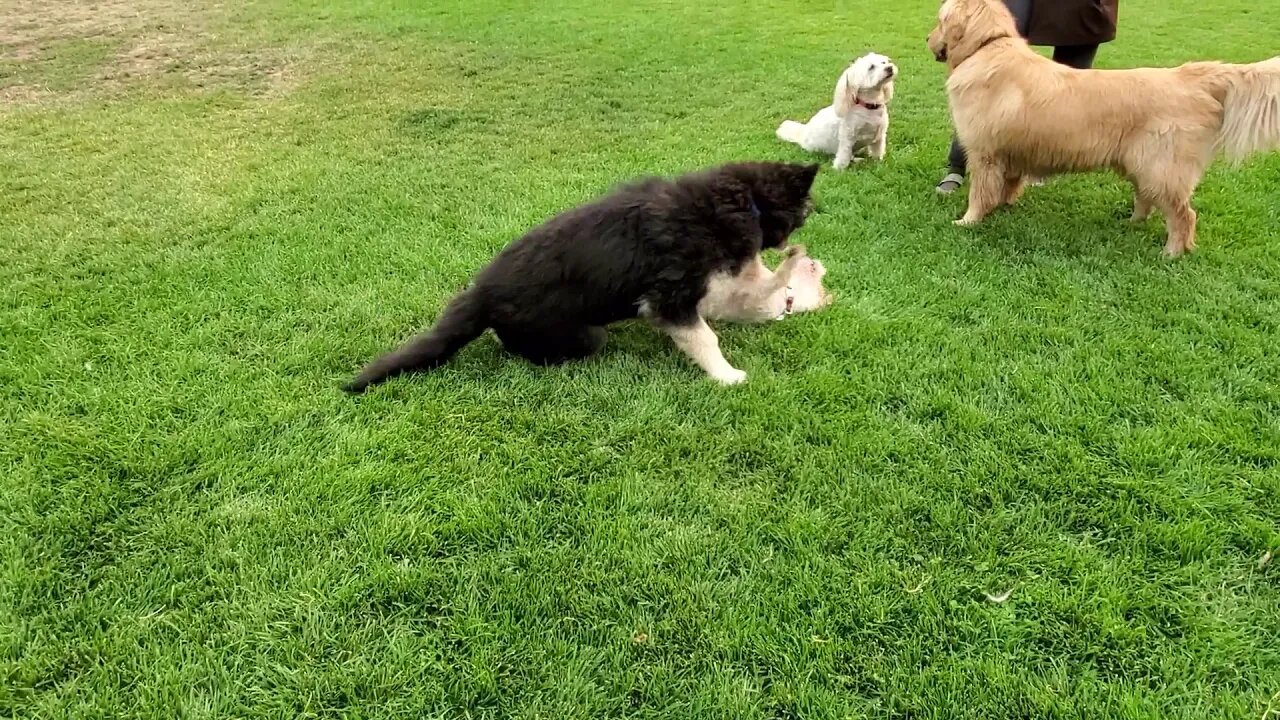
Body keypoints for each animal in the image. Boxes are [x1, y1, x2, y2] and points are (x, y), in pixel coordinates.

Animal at [343, 158, 819, 389]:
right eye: (800, 217)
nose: (787, 241)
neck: (736, 201)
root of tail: (480, 294)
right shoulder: (672, 297)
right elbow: (705, 337)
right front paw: (726, 376)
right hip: (583, 335)